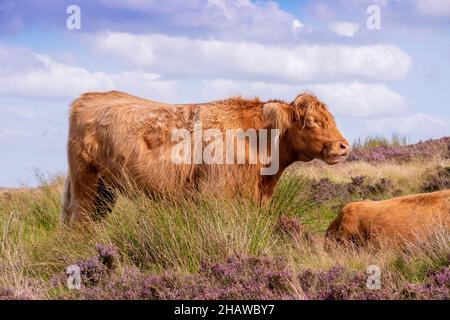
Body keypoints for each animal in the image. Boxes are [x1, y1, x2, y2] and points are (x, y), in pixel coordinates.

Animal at [61, 91, 350, 224]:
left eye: (332, 118)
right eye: (312, 121)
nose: (343, 146)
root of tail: (89, 98)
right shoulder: (216, 195)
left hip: (105, 190)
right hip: (85, 185)